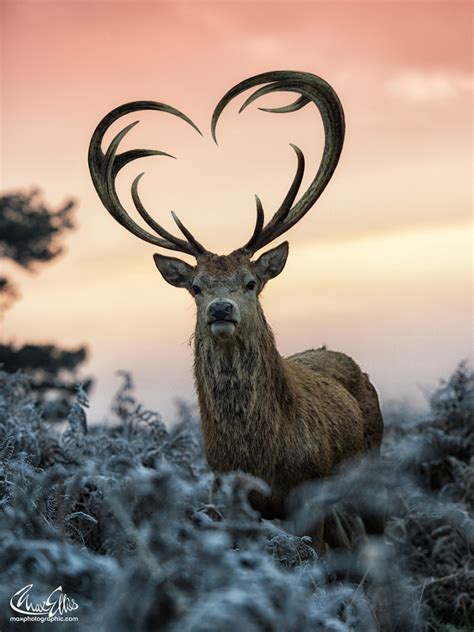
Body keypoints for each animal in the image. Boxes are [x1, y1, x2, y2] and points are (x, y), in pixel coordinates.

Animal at [90, 69, 386, 532]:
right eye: (196, 287)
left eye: (250, 282)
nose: (220, 309)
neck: (260, 462)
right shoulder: (227, 500)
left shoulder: (310, 500)